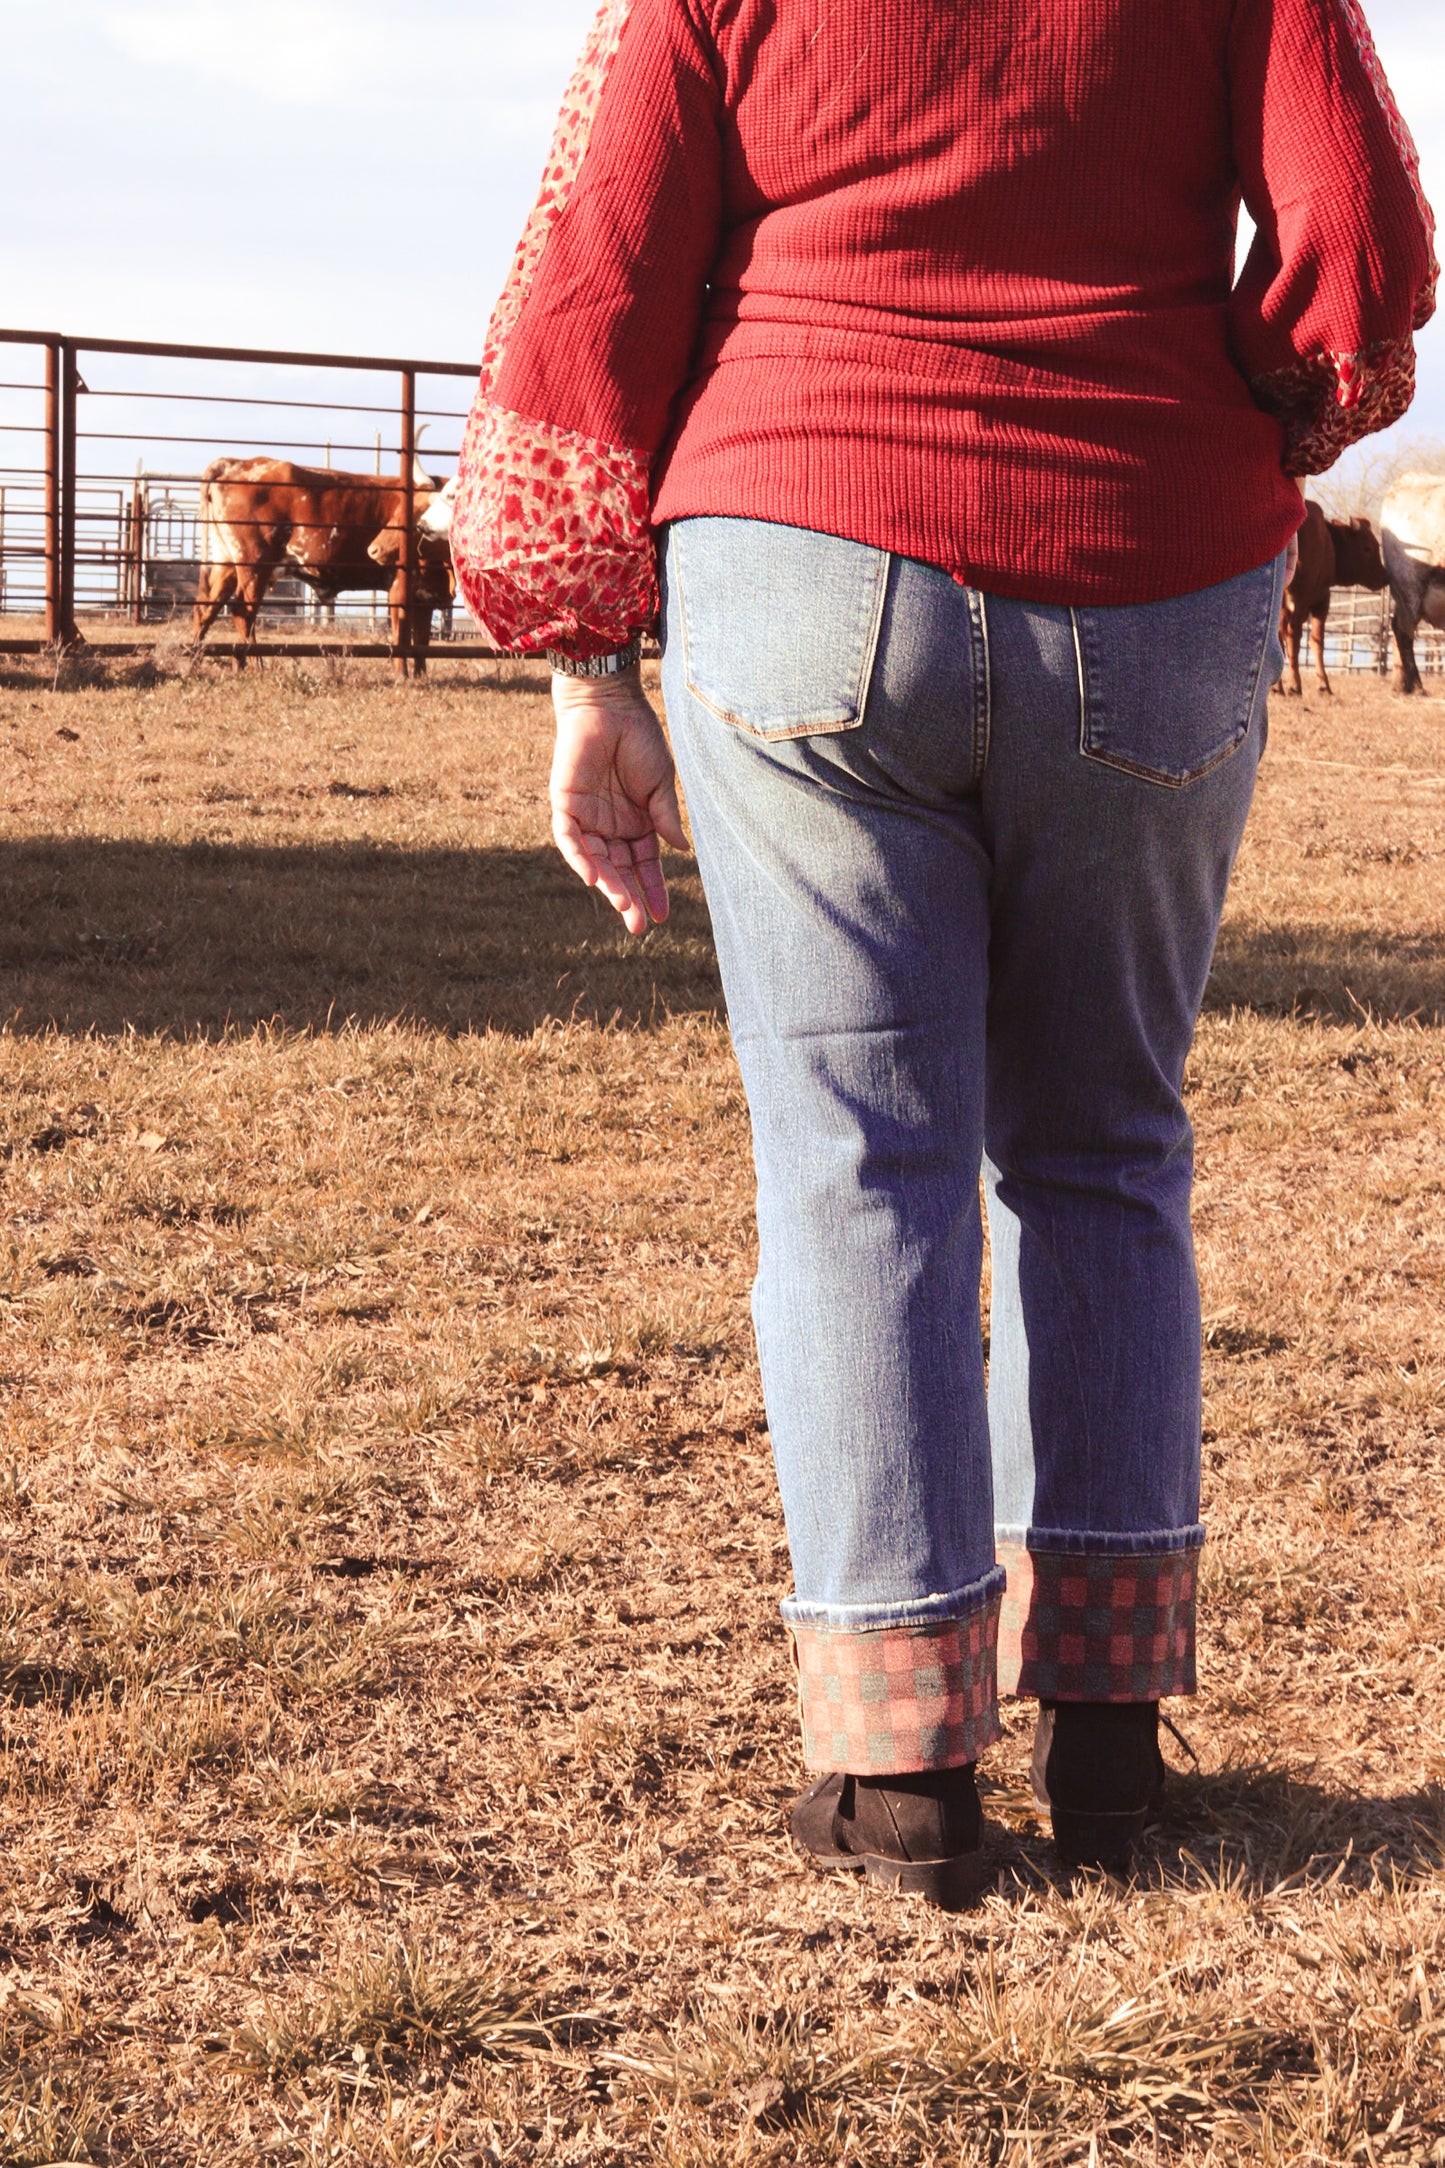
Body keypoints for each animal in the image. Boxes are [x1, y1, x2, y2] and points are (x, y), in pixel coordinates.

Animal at [191, 466, 452, 676]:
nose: (374, 549)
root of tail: (234, 463)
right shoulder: (399, 586)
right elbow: (402, 634)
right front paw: (403, 675)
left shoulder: (426, 595)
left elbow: (421, 640)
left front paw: (420, 675)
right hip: (254, 567)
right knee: (241, 612)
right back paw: (257, 665)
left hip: (227, 564)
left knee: (207, 609)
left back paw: (197, 660)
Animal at [1282, 498, 1395, 693]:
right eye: (1367, 548)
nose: (1385, 577)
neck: (1330, 542)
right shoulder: (1321, 600)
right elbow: (1317, 641)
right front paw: (1323, 685)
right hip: (1300, 601)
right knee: (1293, 636)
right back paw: (1295, 685)